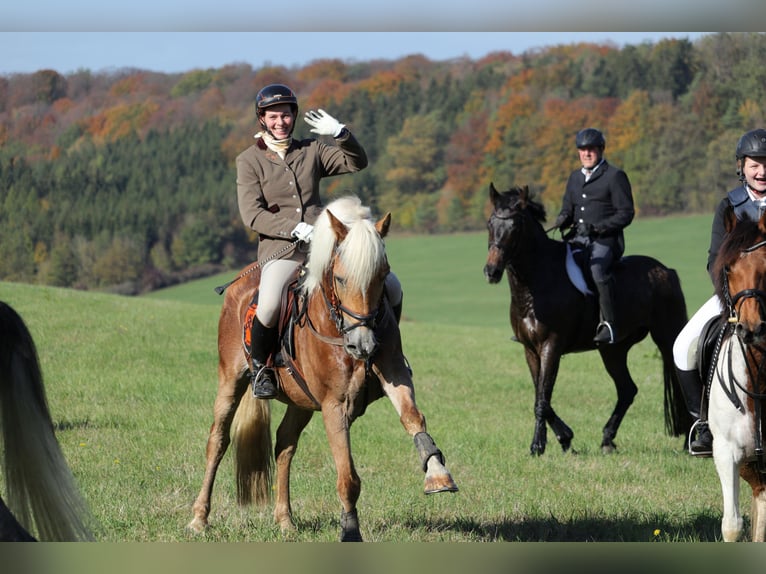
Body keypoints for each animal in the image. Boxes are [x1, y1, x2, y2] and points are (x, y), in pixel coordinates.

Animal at [189, 196, 460, 544]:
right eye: (341, 278)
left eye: (382, 275)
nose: (363, 345)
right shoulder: (335, 405)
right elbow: (348, 477)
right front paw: (350, 531)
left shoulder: (396, 375)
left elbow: (413, 418)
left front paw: (438, 474)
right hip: (230, 381)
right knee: (218, 441)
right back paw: (199, 518)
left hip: (301, 401)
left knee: (284, 445)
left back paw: (285, 520)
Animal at [486, 187, 696, 456]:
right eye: (490, 223)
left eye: (515, 227)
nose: (491, 271)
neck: (534, 286)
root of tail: (665, 270)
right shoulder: (530, 349)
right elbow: (540, 394)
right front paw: (565, 438)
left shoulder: (551, 345)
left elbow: (543, 398)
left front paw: (538, 446)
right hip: (613, 349)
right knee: (627, 389)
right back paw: (607, 440)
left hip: (667, 336)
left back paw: (691, 440)